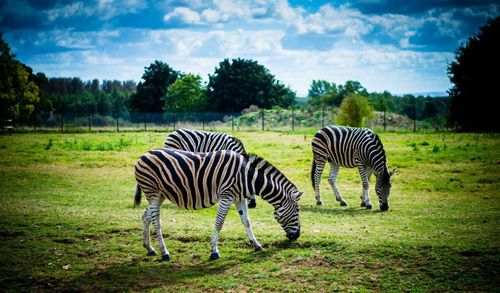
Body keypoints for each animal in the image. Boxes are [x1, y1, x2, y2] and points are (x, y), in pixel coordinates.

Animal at [135, 148, 302, 260]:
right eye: (298, 211)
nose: (296, 236)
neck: (247, 176)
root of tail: (144, 155)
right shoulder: (226, 196)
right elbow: (219, 222)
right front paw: (214, 251)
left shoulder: (239, 198)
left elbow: (246, 221)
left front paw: (256, 245)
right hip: (153, 192)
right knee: (156, 220)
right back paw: (164, 252)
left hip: (160, 194)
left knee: (145, 216)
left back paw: (149, 248)